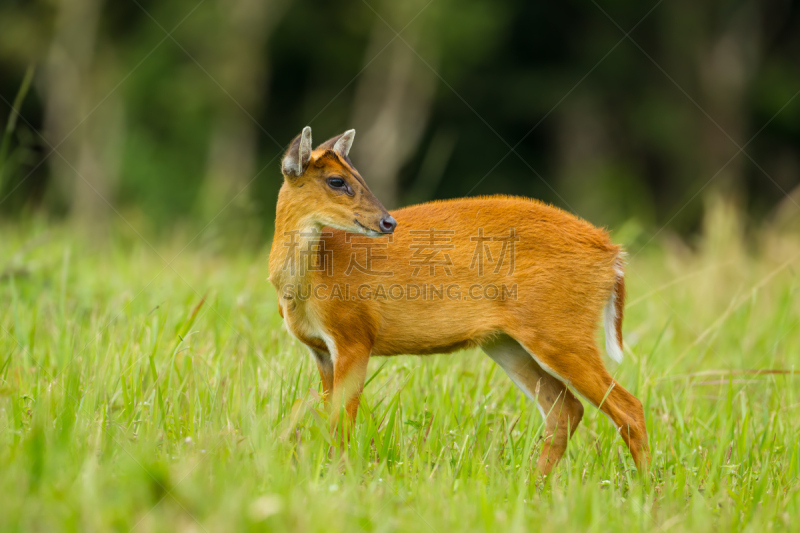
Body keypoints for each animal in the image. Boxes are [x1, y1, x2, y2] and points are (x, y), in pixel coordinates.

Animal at [268, 125, 648, 474]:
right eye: (336, 180)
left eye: (357, 175)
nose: (388, 221)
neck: (314, 278)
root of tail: (613, 253)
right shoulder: (321, 350)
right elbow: (329, 420)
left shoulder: (355, 336)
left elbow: (341, 425)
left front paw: (339, 477)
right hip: (507, 342)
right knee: (565, 409)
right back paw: (533, 485)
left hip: (561, 330)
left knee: (628, 408)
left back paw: (645, 487)